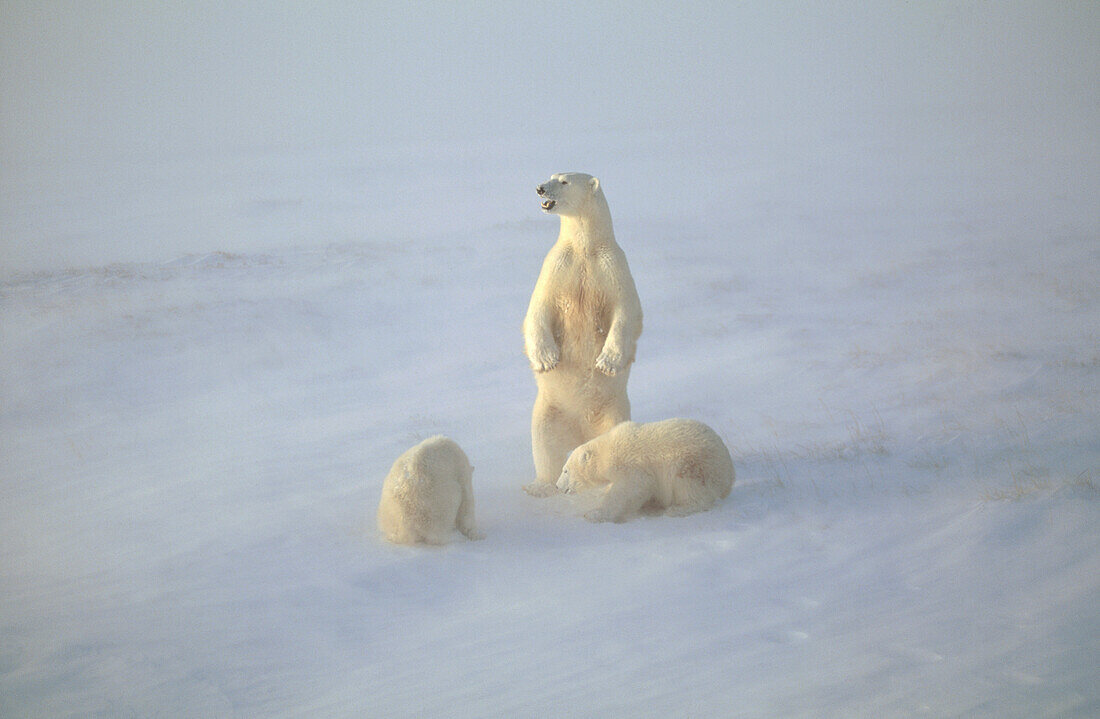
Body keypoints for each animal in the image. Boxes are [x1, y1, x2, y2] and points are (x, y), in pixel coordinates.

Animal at [523, 172, 642, 499]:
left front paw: (607, 362)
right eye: (551, 175)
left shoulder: (614, 268)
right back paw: (540, 487)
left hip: (615, 411)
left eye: (564, 181)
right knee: (545, 445)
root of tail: (580, 435)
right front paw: (546, 359)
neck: (585, 249)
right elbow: (538, 309)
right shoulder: (557, 267)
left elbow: (626, 312)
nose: (540, 188)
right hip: (549, 411)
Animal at [558, 417, 730, 523]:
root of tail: (730, 473)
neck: (607, 451)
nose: (557, 486)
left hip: (693, 465)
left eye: (565, 470)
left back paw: (677, 509)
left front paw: (594, 514)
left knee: (691, 489)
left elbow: (629, 489)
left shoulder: (630, 464)